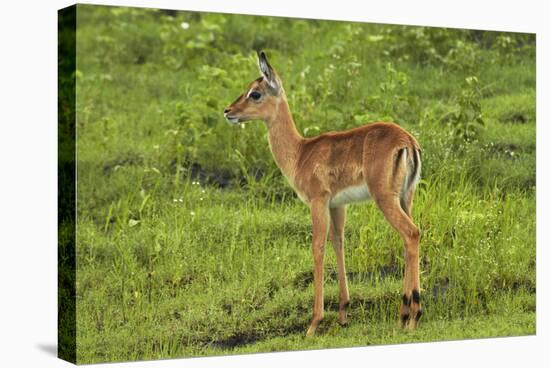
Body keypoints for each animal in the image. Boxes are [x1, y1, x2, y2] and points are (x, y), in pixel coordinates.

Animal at [226, 51, 424, 336]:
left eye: (255, 93)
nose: (228, 111)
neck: (300, 153)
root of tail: (407, 141)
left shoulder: (318, 201)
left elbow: (317, 247)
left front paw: (314, 323)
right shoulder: (337, 205)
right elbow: (338, 243)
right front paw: (343, 314)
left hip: (385, 199)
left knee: (411, 233)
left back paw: (412, 316)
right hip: (406, 198)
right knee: (410, 239)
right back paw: (405, 313)